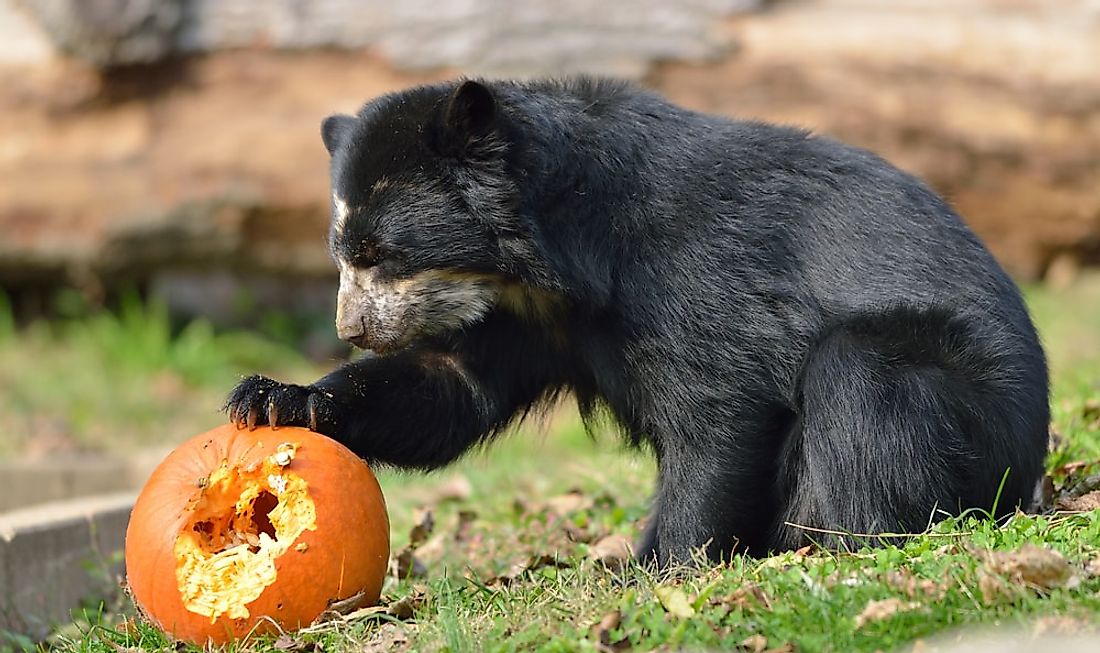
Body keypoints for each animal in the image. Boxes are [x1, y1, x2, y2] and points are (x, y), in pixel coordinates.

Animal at [223, 77, 1047, 562]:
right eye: (342, 255)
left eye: (382, 253)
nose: (353, 330)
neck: (553, 263)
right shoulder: (523, 317)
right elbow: (451, 386)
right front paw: (278, 399)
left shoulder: (685, 272)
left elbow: (718, 410)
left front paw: (655, 566)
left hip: (969, 414)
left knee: (862, 376)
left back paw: (836, 543)